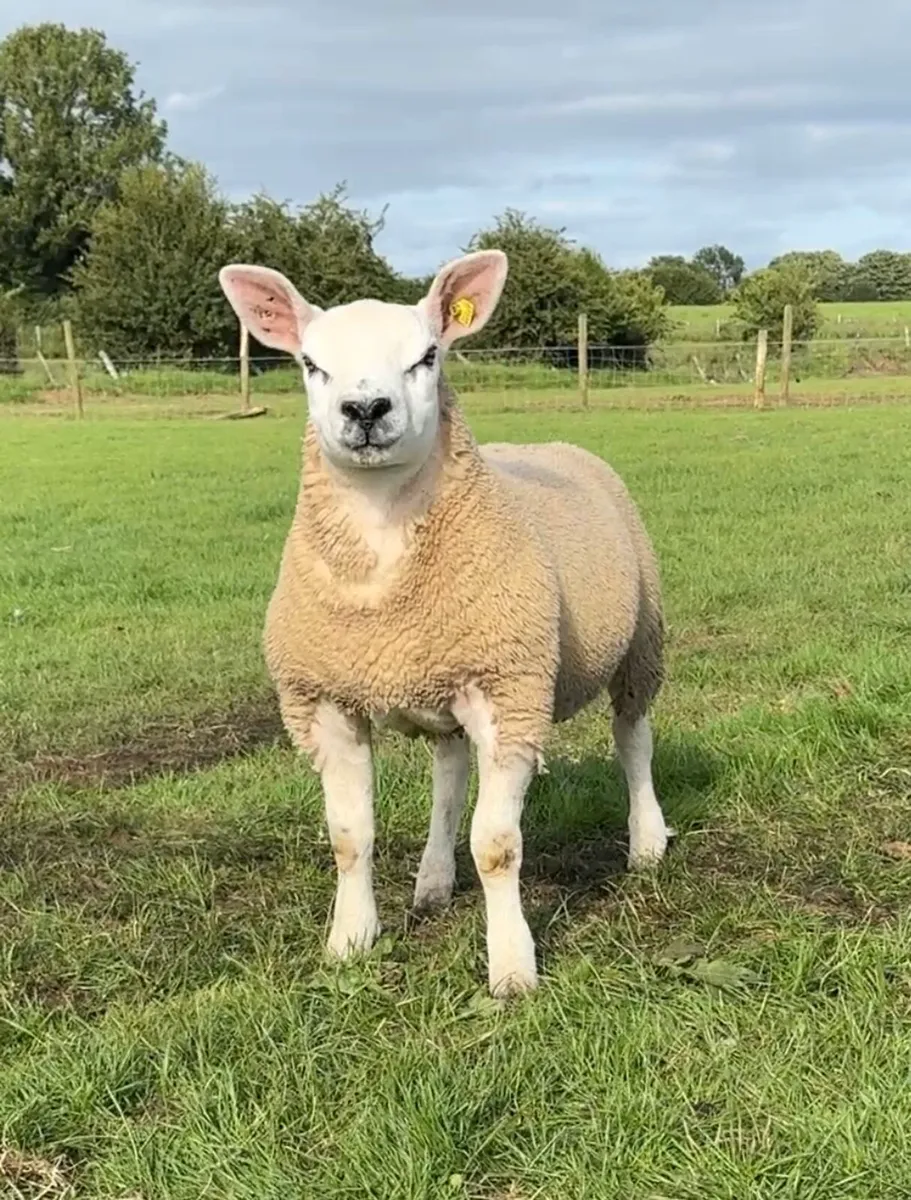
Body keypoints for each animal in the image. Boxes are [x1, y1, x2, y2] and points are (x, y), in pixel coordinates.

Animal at [218, 249, 670, 997]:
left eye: (427, 356)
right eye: (310, 363)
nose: (365, 409)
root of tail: (554, 441)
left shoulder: (510, 692)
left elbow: (497, 846)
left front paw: (512, 969)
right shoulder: (325, 701)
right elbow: (350, 838)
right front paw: (349, 941)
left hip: (641, 641)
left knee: (632, 738)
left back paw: (647, 842)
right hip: (441, 680)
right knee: (449, 776)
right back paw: (433, 879)